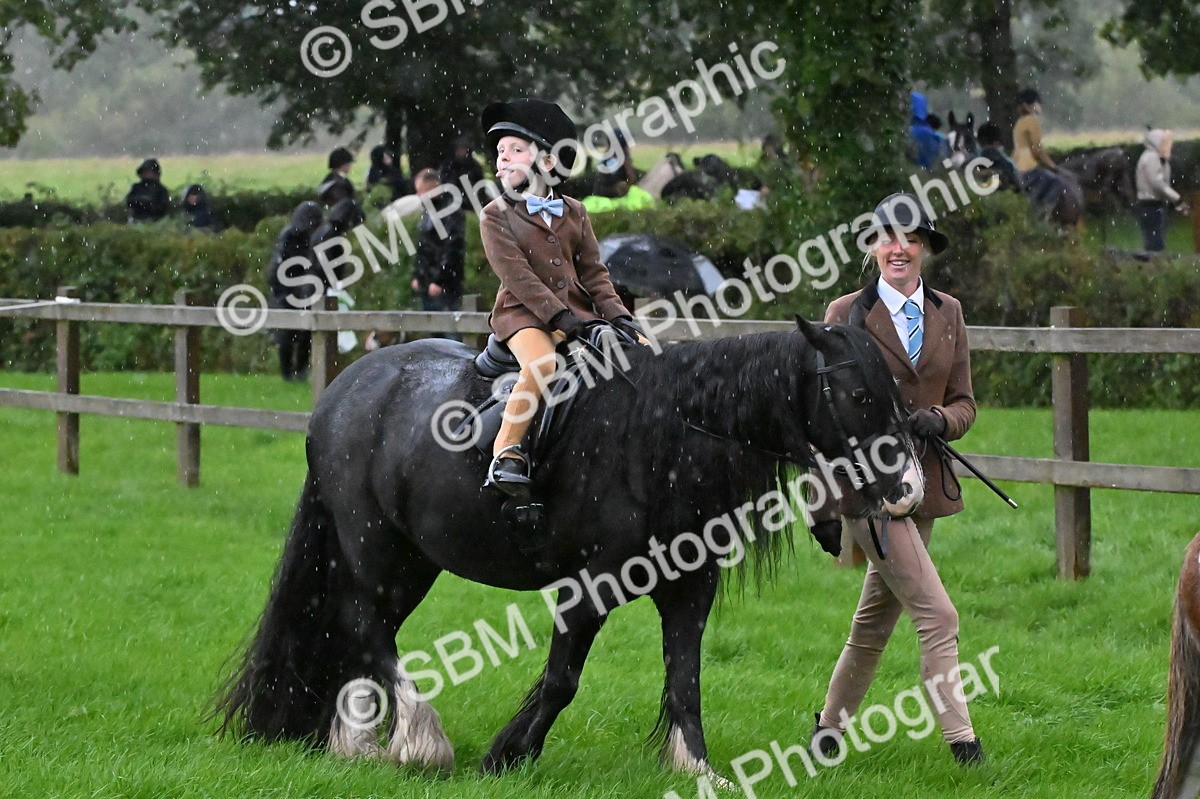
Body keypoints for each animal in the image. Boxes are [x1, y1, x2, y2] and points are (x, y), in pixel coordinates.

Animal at [213, 318, 926, 781]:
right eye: (860, 396)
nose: (909, 489)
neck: (660, 434)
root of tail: (344, 389)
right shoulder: (590, 587)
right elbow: (562, 679)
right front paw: (507, 754)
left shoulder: (689, 588)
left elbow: (685, 680)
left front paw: (698, 771)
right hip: (372, 544)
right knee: (365, 624)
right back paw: (420, 740)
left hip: (413, 559)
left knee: (366, 629)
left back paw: (356, 741)